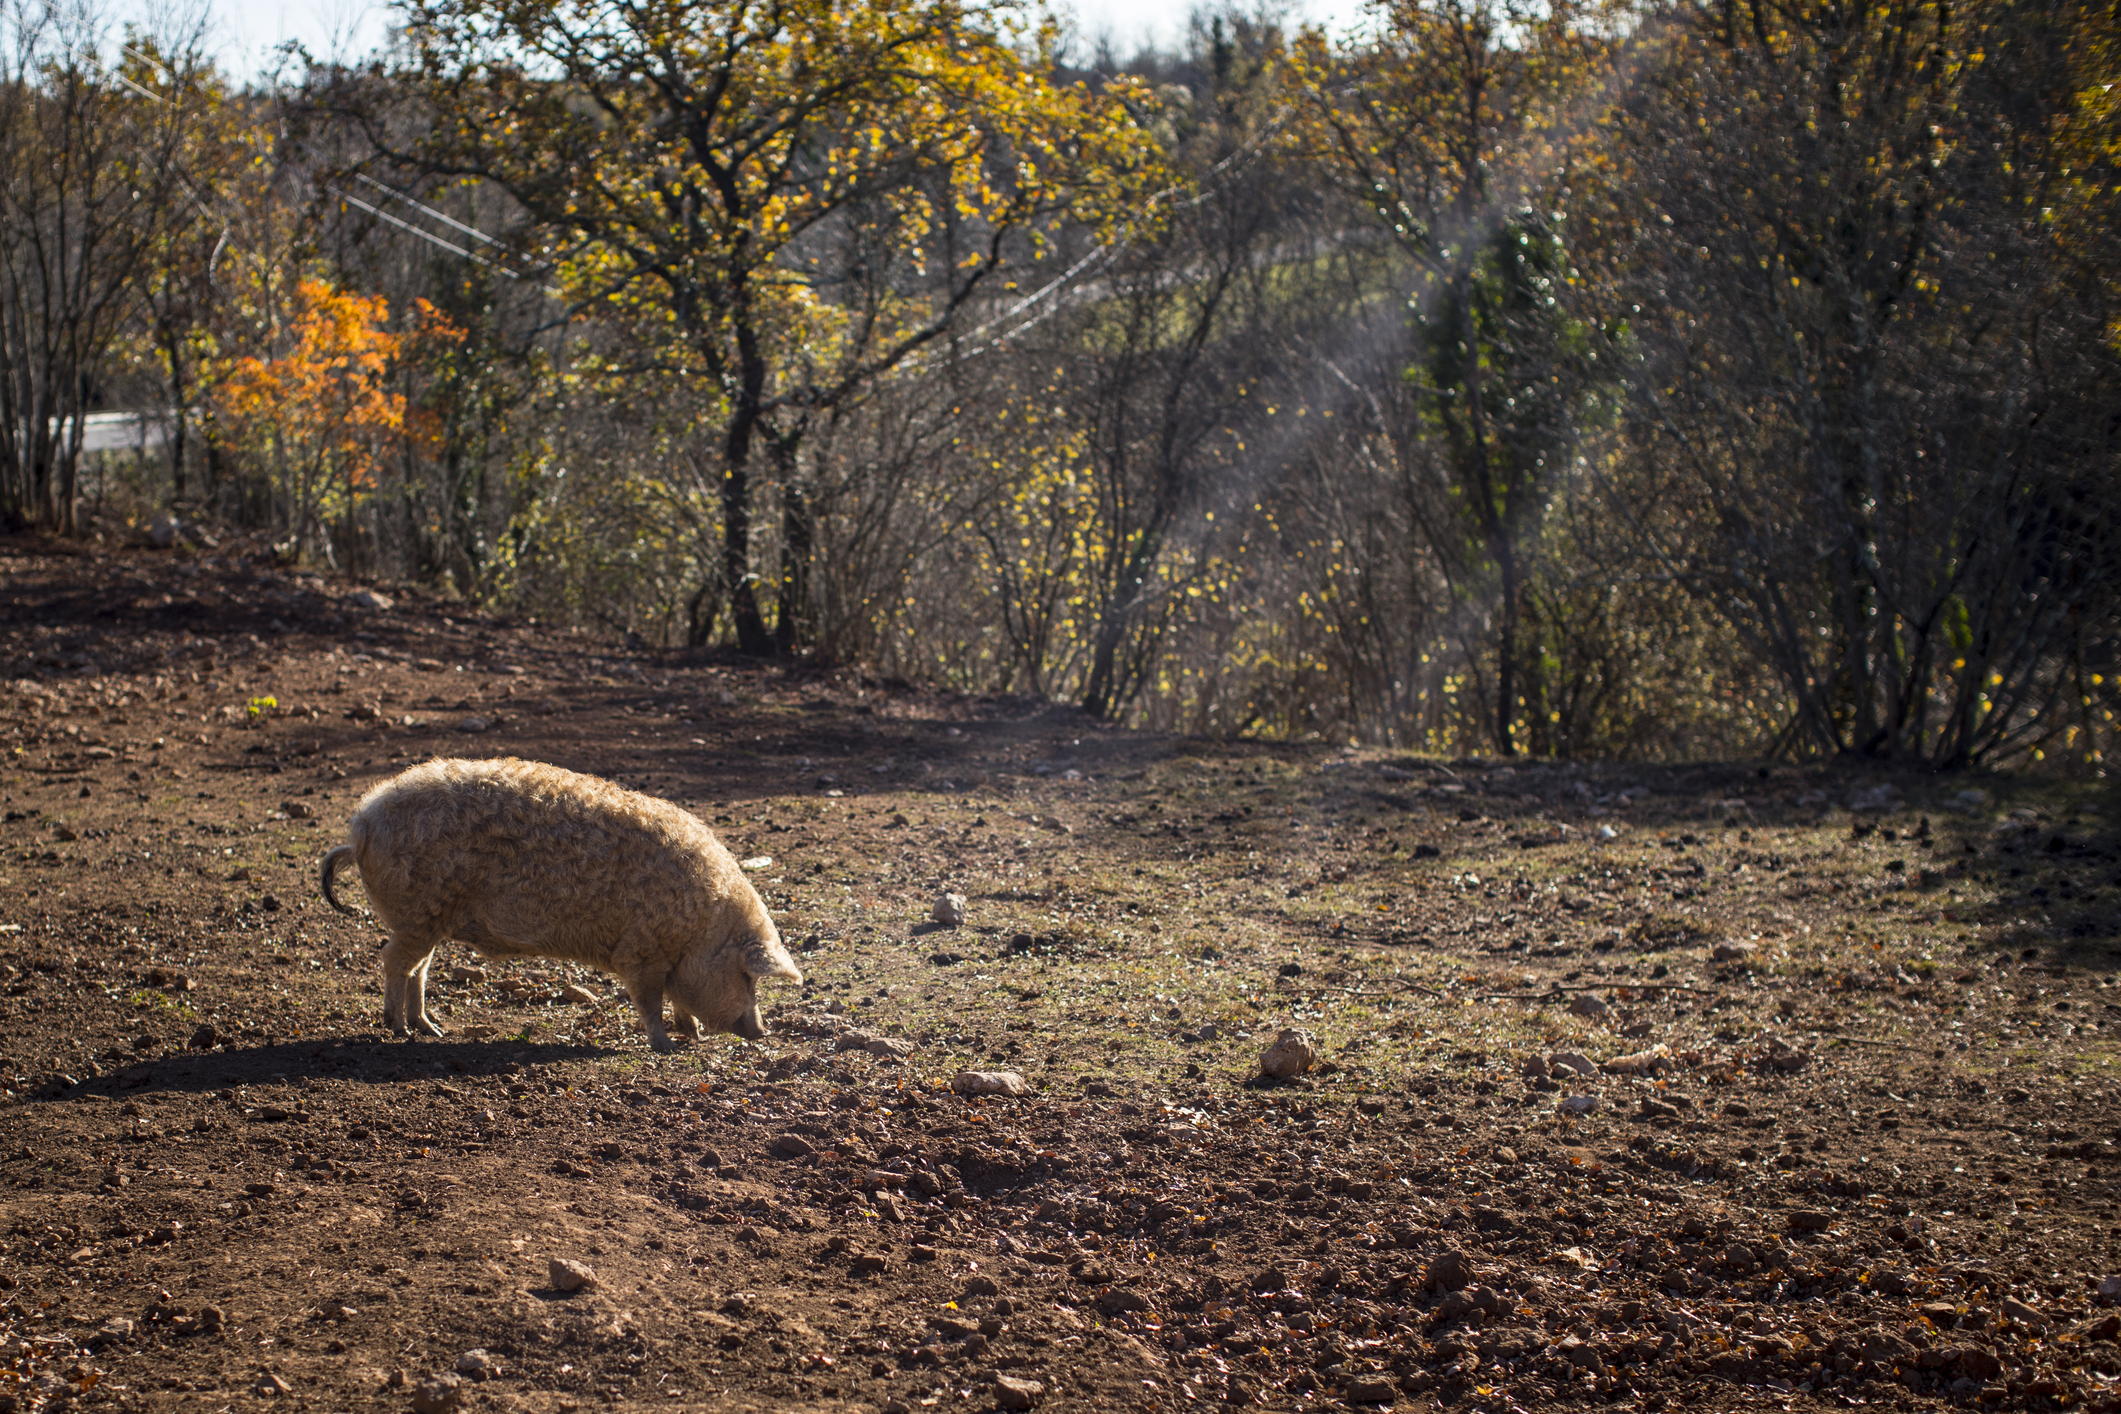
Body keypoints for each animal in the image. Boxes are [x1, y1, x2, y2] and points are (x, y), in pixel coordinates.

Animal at [316, 763, 801, 1051]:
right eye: (748, 977)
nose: (763, 1031)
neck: (701, 928)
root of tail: (361, 827)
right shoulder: (638, 952)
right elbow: (649, 1001)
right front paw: (665, 1046)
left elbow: (676, 997)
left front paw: (692, 1035)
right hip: (415, 913)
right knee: (392, 961)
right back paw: (396, 1028)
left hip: (428, 919)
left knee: (418, 968)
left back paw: (431, 1029)